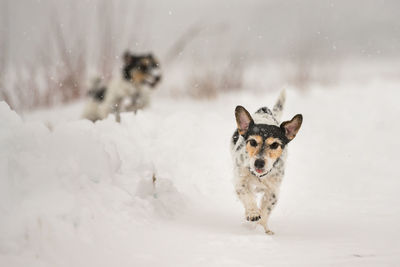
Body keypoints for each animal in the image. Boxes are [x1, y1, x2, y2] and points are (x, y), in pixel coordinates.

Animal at [231, 91, 304, 234]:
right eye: (253, 142)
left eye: (275, 145)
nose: (259, 163)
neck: (259, 176)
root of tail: (265, 110)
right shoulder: (240, 182)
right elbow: (247, 195)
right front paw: (253, 212)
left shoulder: (273, 192)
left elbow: (266, 211)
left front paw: (262, 229)